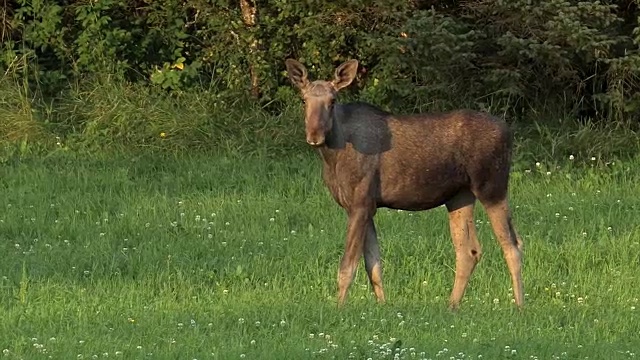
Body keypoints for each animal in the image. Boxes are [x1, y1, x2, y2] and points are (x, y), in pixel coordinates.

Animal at [286, 57, 524, 308]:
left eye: (332, 101)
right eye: (304, 99)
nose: (314, 135)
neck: (332, 155)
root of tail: (509, 131)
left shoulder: (361, 203)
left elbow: (347, 266)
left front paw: (339, 308)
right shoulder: (364, 206)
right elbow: (373, 265)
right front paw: (382, 305)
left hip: (492, 187)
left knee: (513, 245)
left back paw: (519, 306)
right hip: (459, 196)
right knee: (469, 251)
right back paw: (452, 306)